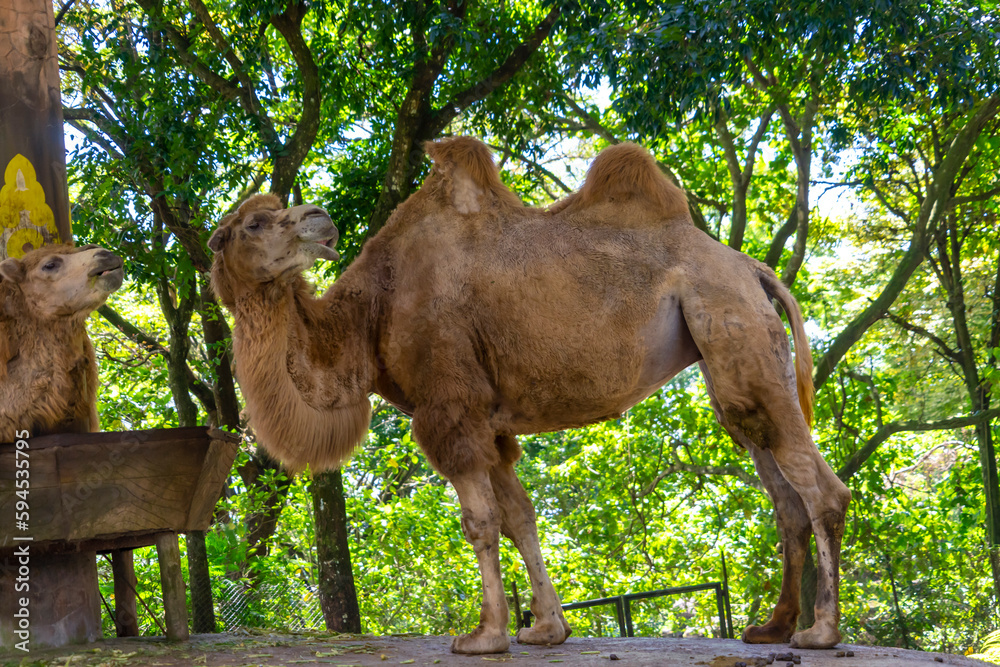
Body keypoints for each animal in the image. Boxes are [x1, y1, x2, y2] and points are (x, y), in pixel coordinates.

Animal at [209, 137, 851, 653]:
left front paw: (485, 635)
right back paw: (772, 627)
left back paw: (820, 632)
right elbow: (521, 517)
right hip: (733, 359)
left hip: (731, 320)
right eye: (254, 224)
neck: (373, 310)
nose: (318, 218)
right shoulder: (491, 421)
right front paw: (546, 629)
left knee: (821, 488)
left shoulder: (451, 406)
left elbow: (480, 521)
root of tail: (753, 267)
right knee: (777, 479)